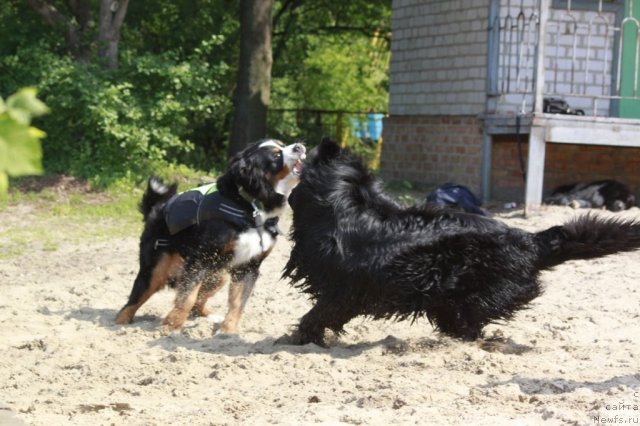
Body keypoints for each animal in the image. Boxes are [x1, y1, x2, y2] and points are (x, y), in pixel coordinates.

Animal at [282, 139, 640, 346]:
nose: (300, 144)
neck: (343, 204)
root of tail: (530, 240)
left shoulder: (345, 290)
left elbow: (319, 313)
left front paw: (301, 337)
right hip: (451, 299)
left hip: (478, 292)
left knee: (470, 319)